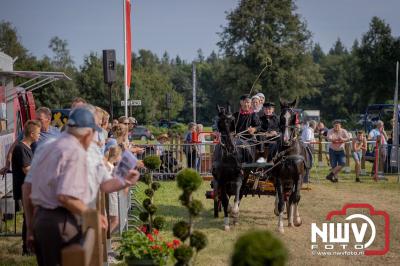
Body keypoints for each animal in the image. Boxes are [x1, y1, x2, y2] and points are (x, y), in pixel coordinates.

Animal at [272, 99, 312, 233]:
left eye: (294, 117)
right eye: (281, 117)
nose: (285, 139)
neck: (288, 152)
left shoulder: (298, 177)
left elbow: (296, 197)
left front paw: (295, 220)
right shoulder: (278, 178)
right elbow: (281, 202)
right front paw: (280, 227)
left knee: (292, 197)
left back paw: (292, 218)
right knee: (284, 197)